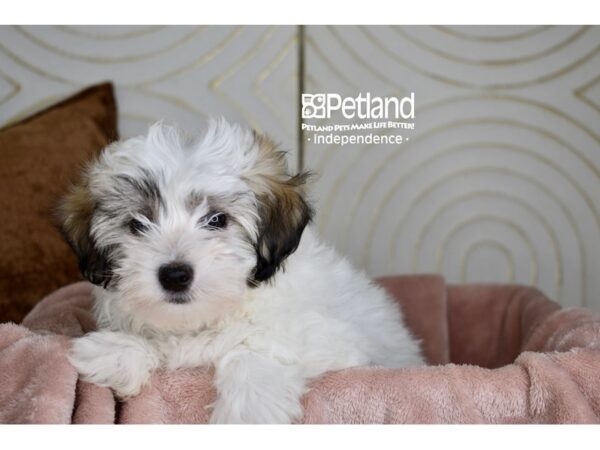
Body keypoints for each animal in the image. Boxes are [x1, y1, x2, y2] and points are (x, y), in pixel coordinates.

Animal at [61, 118, 424, 422]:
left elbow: (256, 348)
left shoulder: (334, 344)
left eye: (217, 219)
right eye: (137, 224)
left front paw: (249, 409)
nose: (175, 275)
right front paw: (116, 354)